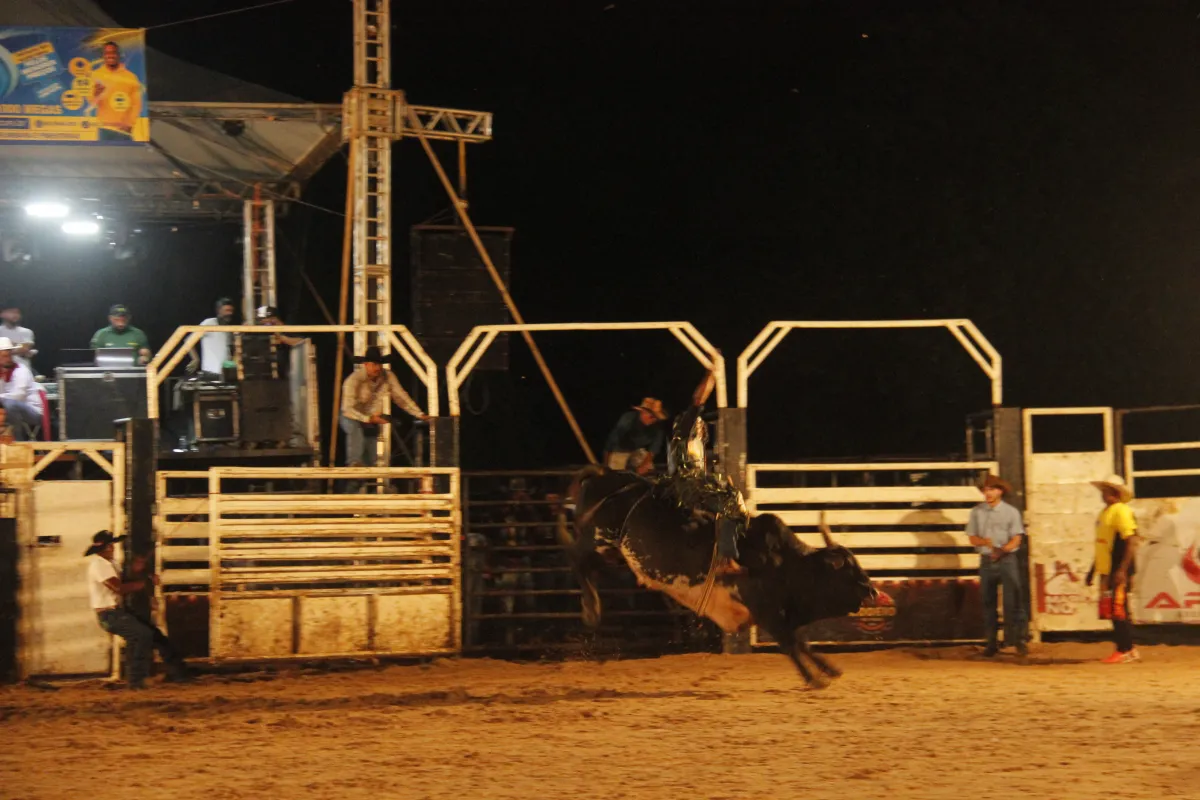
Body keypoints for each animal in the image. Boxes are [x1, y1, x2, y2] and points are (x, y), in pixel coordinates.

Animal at [559, 465, 878, 687]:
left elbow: (802, 642)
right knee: (575, 558)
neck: (786, 564)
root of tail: (605, 474)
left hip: (612, 552)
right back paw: (591, 611)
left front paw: (829, 669)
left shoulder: (781, 615)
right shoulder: (766, 612)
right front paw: (815, 679)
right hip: (597, 539)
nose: (874, 591)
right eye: (848, 570)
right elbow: (791, 643)